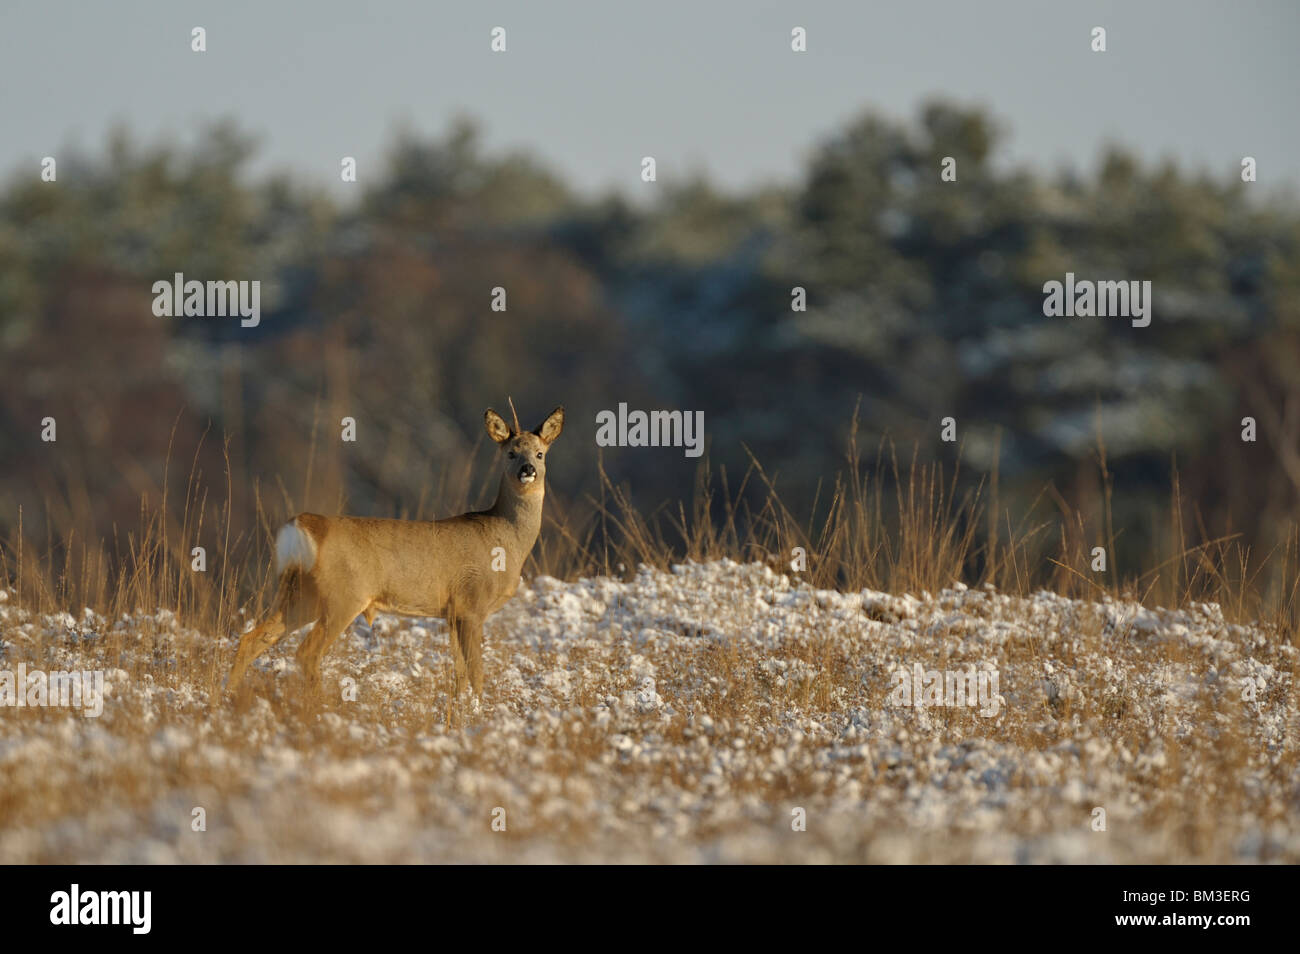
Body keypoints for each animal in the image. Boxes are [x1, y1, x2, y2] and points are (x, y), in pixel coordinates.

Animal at [226, 402, 561, 696]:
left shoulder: (452, 612)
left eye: (540, 453)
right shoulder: (471, 603)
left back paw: (228, 697)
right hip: (343, 595)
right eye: (510, 453)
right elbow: (476, 673)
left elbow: (460, 675)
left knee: (251, 639)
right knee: (307, 652)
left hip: (301, 594)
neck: (505, 539)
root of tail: (306, 525)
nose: (528, 469)